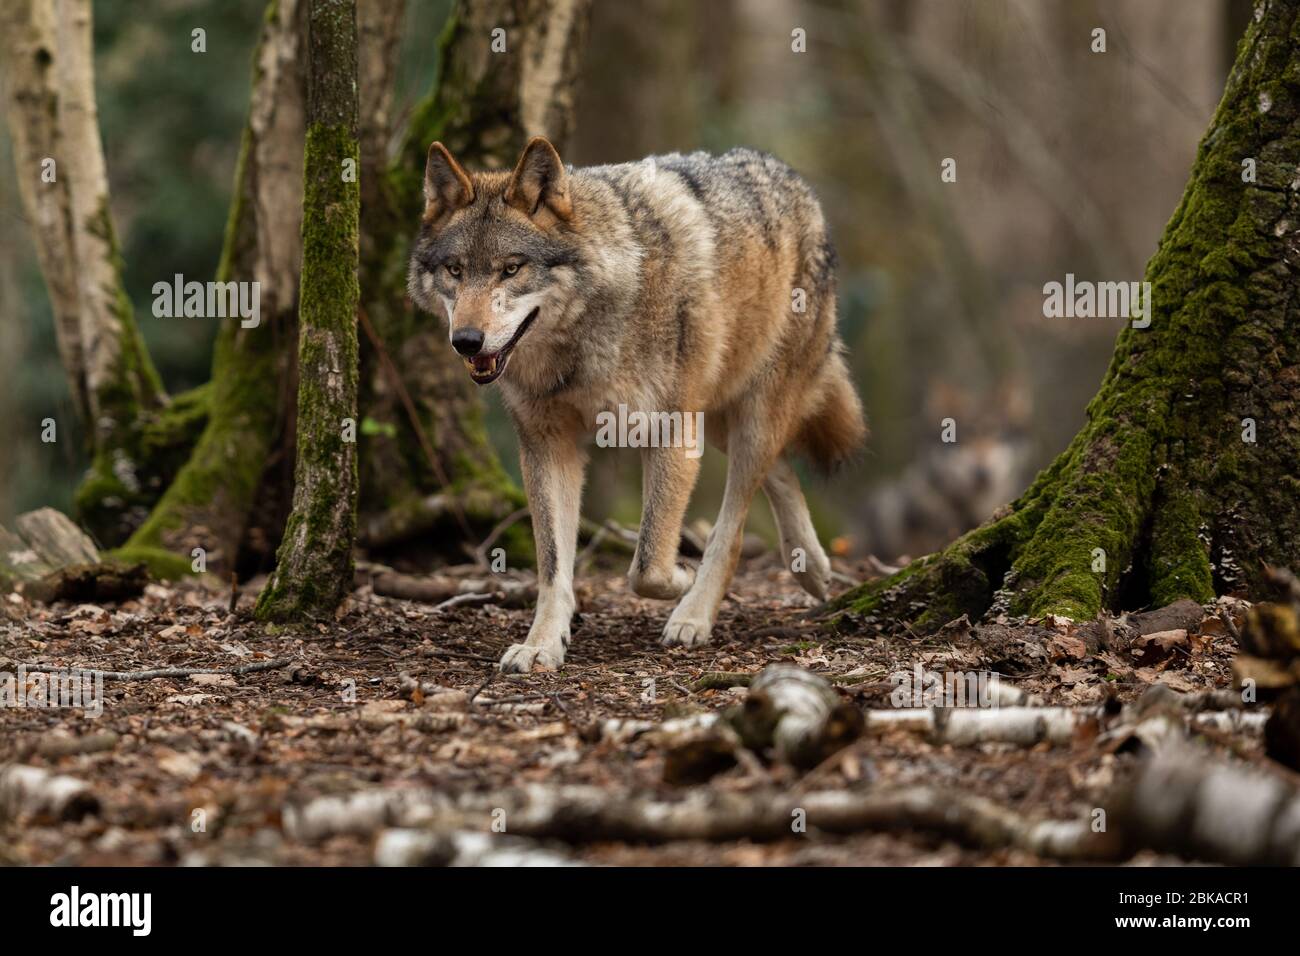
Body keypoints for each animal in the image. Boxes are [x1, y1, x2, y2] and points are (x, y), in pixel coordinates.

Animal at [408, 136, 866, 672]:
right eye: (455, 270)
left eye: (511, 268)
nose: (466, 341)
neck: (581, 342)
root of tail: (789, 176)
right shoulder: (547, 445)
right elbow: (553, 565)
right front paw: (542, 645)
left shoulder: (670, 431)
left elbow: (646, 564)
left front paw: (682, 578)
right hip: (716, 415)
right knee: (779, 471)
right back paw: (811, 568)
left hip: (746, 413)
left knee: (734, 523)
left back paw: (695, 614)